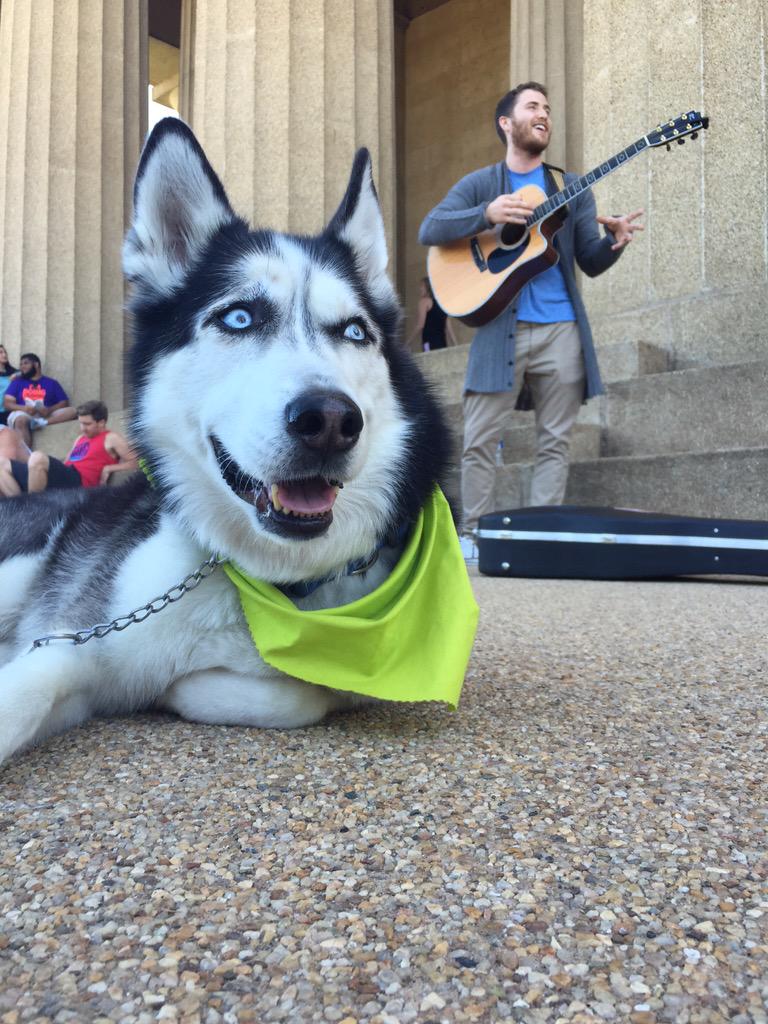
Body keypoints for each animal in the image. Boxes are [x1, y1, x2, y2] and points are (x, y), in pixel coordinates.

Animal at [0, 117, 450, 770]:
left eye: (355, 332)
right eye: (239, 318)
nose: (330, 419)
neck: (271, 585)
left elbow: (304, 692)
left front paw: (184, 690)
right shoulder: (67, 641)